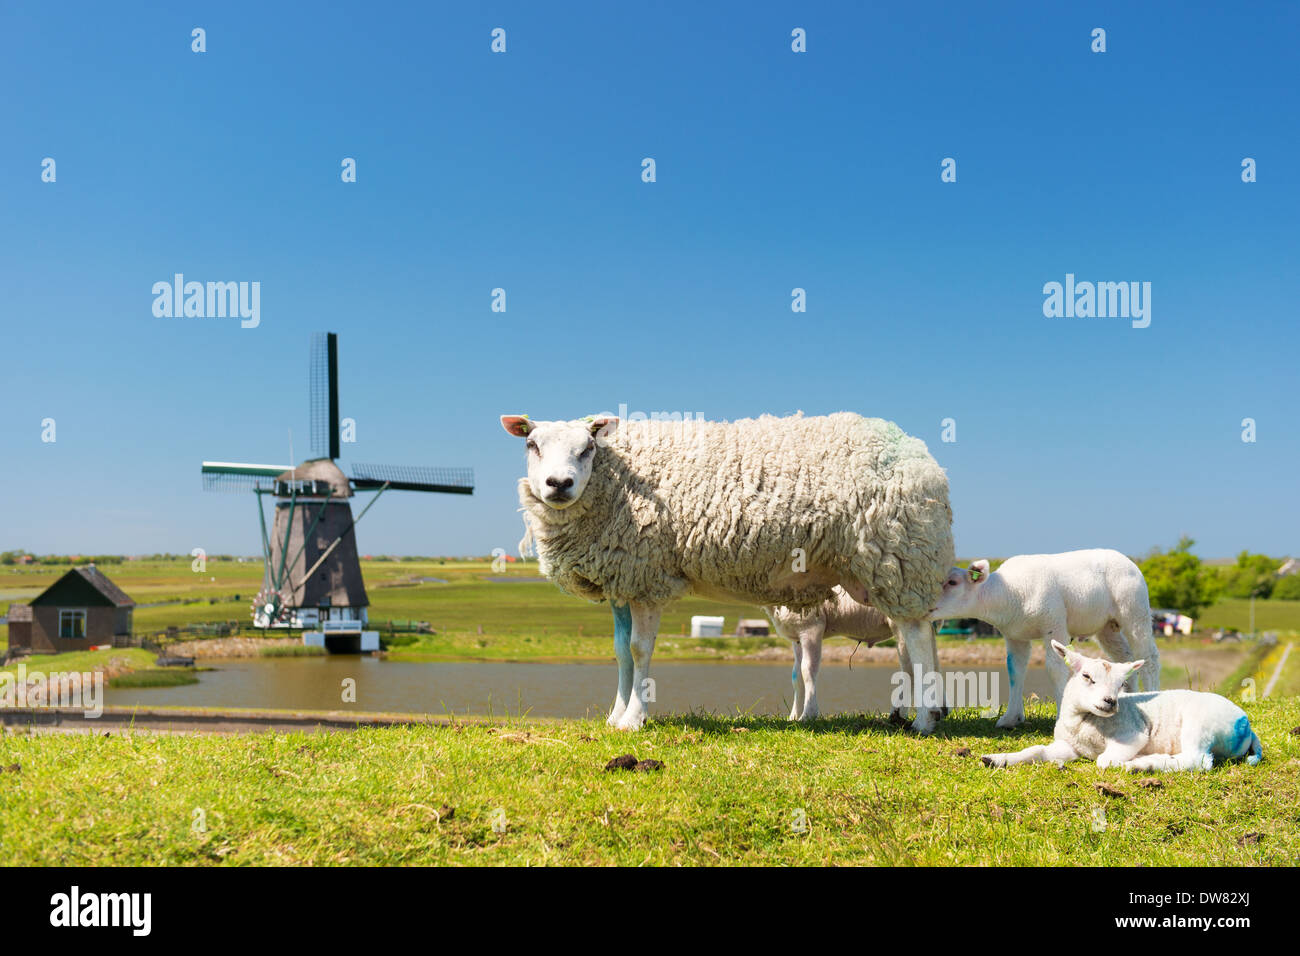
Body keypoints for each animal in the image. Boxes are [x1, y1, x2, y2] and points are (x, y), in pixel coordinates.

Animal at [499, 408, 956, 733]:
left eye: (587, 449)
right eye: (532, 445)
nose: (559, 484)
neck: (615, 479)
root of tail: (920, 453)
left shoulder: (648, 578)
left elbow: (640, 650)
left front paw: (634, 719)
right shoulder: (622, 579)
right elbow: (620, 652)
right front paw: (616, 715)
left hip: (898, 555)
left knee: (916, 639)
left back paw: (924, 721)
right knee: (919, 635)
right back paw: (933, 712)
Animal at [925, 548, 1159, 728]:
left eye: (952, 582)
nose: (925, 604)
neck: (1006, 592)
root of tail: (1124, 557)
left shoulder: (1054, 625)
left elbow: (1056, 669)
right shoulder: (1014, 635)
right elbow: (1015, 671)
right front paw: (1011, 718)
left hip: (1135, 609)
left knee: (1149, 658)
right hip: (1107, 626)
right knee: (1125, 656)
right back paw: (1130, 696)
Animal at [982, 639, 1258, 775]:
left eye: (1121, 684)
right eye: (1086, 676)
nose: (1110, 702)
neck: (1082, 725)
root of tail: (1245, 725)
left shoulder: (1132, 735)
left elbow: (1103, 761)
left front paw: (1131, 760)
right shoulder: (1069, 746)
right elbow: (1036, 750)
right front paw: (997, 759)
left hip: (1200, 725)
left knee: (1198, 760)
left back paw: (1143, 764)